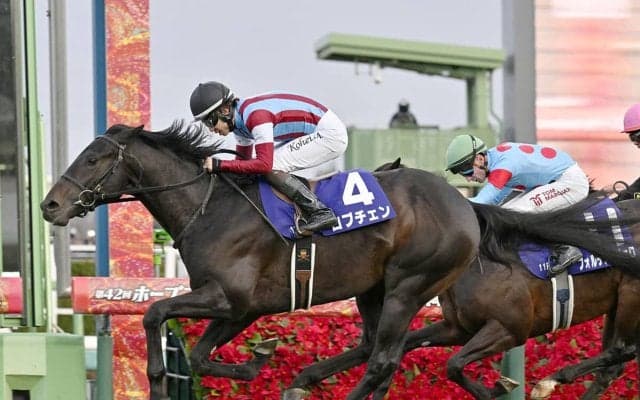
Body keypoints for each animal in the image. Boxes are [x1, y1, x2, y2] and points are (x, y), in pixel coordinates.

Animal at [40, 122, 482, 400]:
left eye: (93, 159)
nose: (50, 205)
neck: (210, 207)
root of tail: (464, 205)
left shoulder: (227, 297)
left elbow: (154, 313)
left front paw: (158, 382)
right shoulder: (243, 308)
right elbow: (199, 357)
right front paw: (259, 359)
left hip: (408, 287)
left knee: (384, 360)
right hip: (373, 290)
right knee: (372, 347)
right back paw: (301, 380)